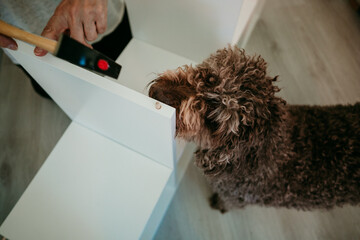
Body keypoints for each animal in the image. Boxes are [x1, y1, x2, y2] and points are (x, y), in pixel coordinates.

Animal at [148, 46, 358, 211]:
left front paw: (218, 205)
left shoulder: (237, 198)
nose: (158, 92)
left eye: (213, 121)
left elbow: (228, 202)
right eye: (209, 77)